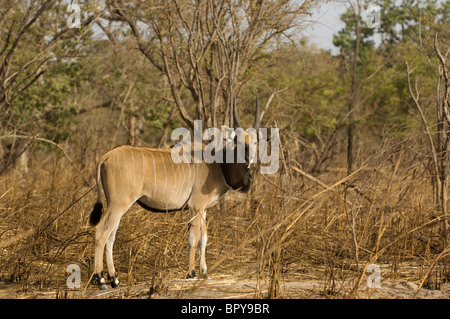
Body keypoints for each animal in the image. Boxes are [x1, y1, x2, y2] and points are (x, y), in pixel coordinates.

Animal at [89, 99, 260, 288]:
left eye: (256, 141)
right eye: (237, 140)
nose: (248, 158)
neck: (219, 164)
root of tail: (106, 157)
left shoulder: (203, 209)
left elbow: (203, 240)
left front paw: (205, 273)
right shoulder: (195, 206)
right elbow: (193, 239)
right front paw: (192, 273)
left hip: (117, 208)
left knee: (110, 237)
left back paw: (115, 279)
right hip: (117, 206)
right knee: (101, 232)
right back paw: (100, 278)